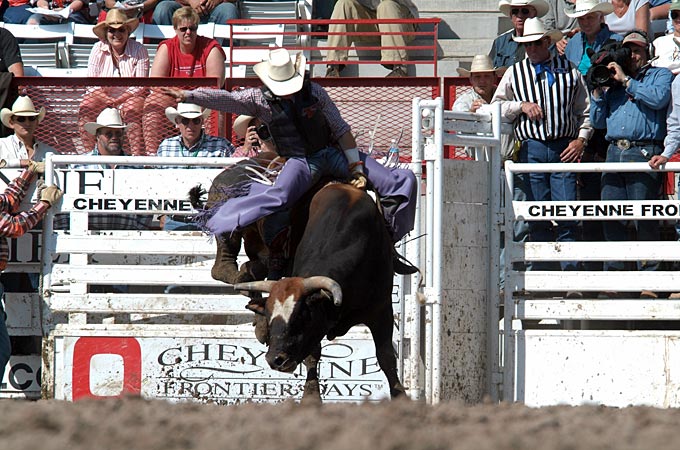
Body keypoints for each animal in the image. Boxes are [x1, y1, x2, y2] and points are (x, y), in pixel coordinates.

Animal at [234, 182, 406, 403]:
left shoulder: (382, 310)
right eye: (270, 316)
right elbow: (312, 354)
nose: (275, 359)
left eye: (300, 316)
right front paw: (311, 396)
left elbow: (386, 356)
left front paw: (401, 396)